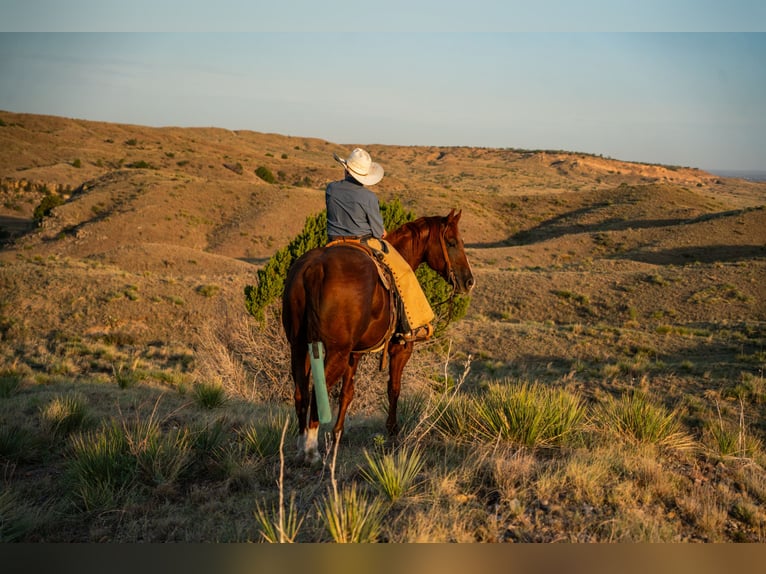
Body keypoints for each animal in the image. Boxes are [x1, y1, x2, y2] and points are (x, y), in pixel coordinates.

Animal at [282, 209, 475, 464]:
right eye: (452, 242)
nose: (469, 281)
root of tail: (314, 268)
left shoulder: (354, 353)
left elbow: (347, 392)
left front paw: (337, 434)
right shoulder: (400, 348)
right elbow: (394, 387)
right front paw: (393, 431)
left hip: (299, 346)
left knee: (300, 393)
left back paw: (301, 445)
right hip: (335, 352)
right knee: (316, 392)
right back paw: (311, 451)